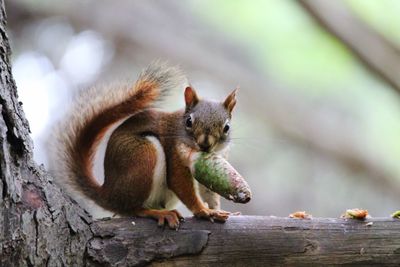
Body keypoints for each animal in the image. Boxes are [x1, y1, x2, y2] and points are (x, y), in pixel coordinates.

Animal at [50, 62, 238, 230]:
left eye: (227, 127)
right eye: (189, 122)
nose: (205, 144)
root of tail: (109, 193)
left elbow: (209, 191)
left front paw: (216, 209)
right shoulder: (174, 153)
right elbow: (180, 182)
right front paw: (203, 211)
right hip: (143, 156)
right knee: (132, 208)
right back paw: (158, 213)